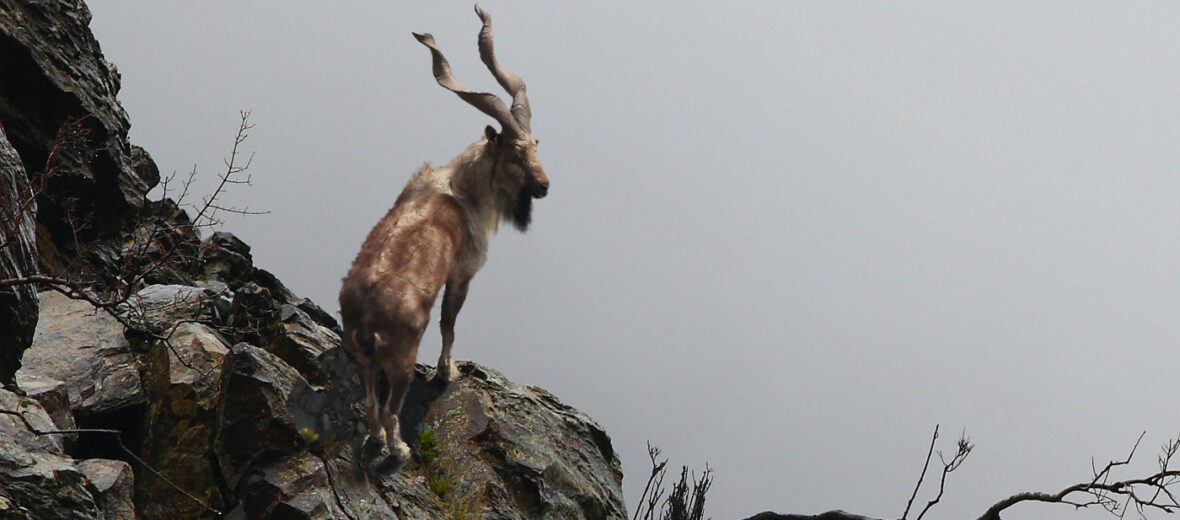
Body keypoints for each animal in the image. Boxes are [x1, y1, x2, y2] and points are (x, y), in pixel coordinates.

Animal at [337, 5, 547, 469]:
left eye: (536, 145)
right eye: (514, 152)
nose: (543, 185)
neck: (461, 190)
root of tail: (365, 317)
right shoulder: (462, 273)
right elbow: (450, 323)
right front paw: (447, 371)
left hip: (362, 359)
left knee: (371, 404)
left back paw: (377, 442)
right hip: (400, 355)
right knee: (391, 407)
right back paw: (399, 449)